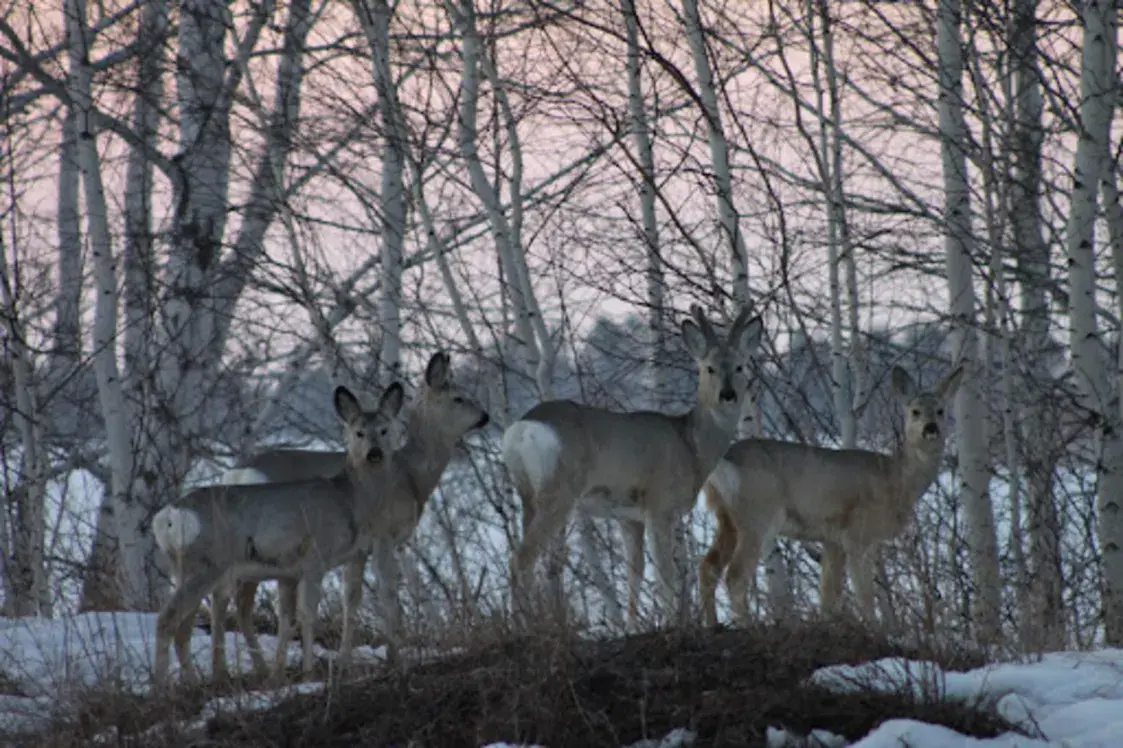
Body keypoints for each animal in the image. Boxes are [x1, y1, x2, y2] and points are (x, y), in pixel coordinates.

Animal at [151, 381, 408, 682]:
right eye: (359, 432)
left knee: (183, 626)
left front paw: (283, 672)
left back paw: (190, 682)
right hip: (205, 564)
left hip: (185, 567)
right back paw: (162, 685)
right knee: (167, 619)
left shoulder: (291, 571)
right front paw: (308, 671)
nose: (374, 453)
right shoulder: (315, 557)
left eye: (385, 429)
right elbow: (308, 615)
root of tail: (168, 516)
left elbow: (291, 619)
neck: (349, 500)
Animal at [207, 350, 487, 673]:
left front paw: (345, 661)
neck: (410, 475)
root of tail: (237, 475)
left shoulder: (362, 548)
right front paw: (394, 657)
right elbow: (389, 593)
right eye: (459, 398)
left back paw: (252, 668)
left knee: (232, 601)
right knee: (235, 600)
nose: (485, 416)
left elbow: (354, 599)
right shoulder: (383, 536)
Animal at [503, 303, 759, 624]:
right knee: (521, 558)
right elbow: (666, 578)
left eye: (739, 366)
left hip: (527, 493)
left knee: (522, 556)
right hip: (559, 492)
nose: (727, 395)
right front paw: (671, 622)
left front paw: (631, 626)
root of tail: (522, 428)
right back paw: (521, 623)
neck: (690, 447)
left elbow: (633, 574)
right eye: (709, 367)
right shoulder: (660, 505)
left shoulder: (628, 516)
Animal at [691, 361, 965, 624]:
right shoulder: (856, 532)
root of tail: (724, 461)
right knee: (735, 575)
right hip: (758, 515)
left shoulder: (833, 538)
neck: (895, 479)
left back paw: (712, 624)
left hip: (726, 519)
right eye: (915, 411)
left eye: (940, 411)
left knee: (708, 567)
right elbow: (864, 594)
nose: (931, 428)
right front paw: (877, 628)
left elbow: (829, 594)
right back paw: (747, 625)